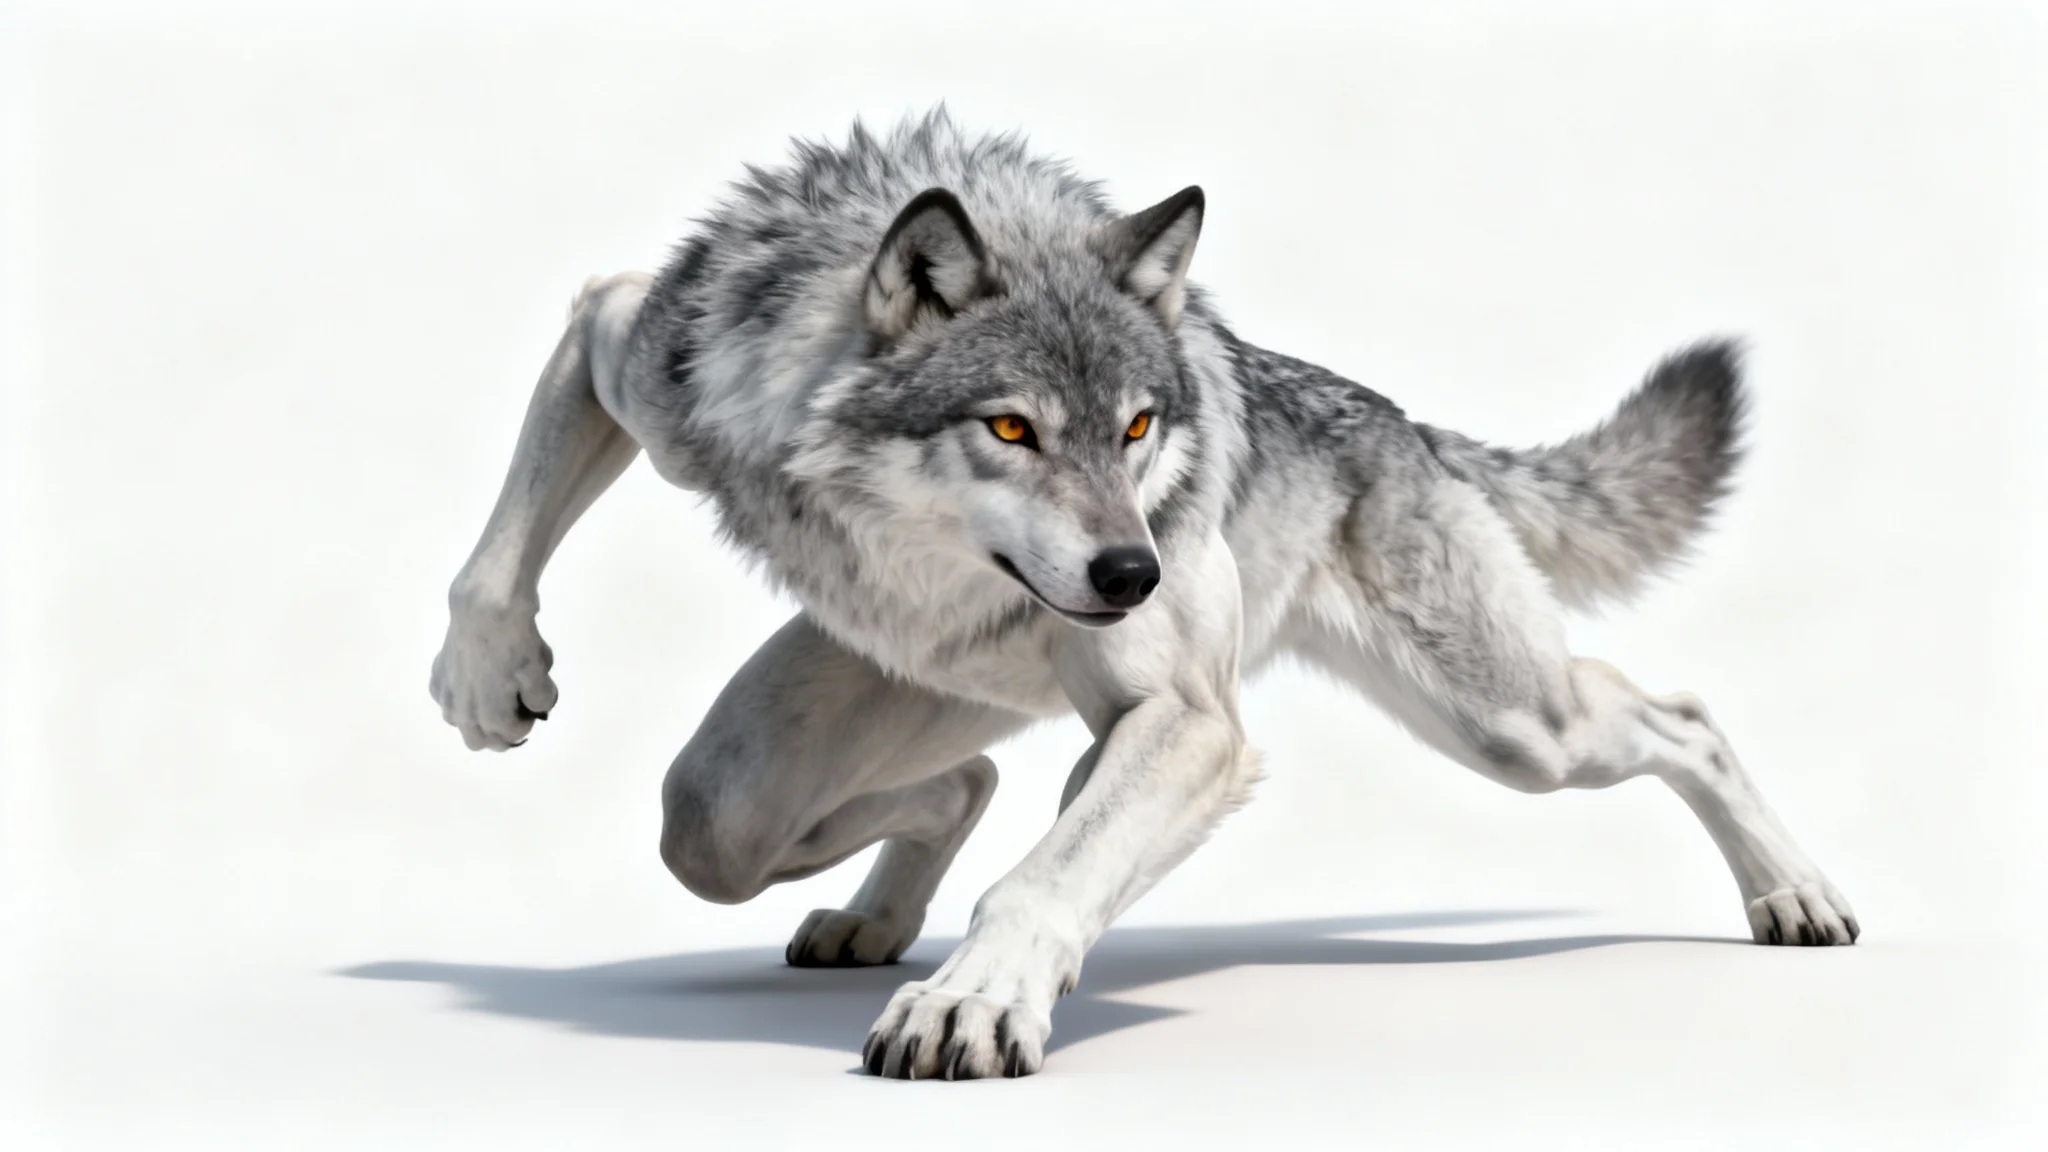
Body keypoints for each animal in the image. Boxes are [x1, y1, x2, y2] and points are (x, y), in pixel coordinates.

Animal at [429, 109, 1857, 1080]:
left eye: (1135, 427)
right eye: (1010, 429)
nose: (1137, 570)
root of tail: (1399, 421)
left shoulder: (1190, 721)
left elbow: (1035, 888)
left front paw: (969, 1004)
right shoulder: (633, 345)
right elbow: (494, 553)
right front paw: (486, 675)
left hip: (1512, 731)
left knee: (1678, 713)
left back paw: (1795, 899)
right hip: (779, 772)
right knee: (906, 797)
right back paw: (870, 922)